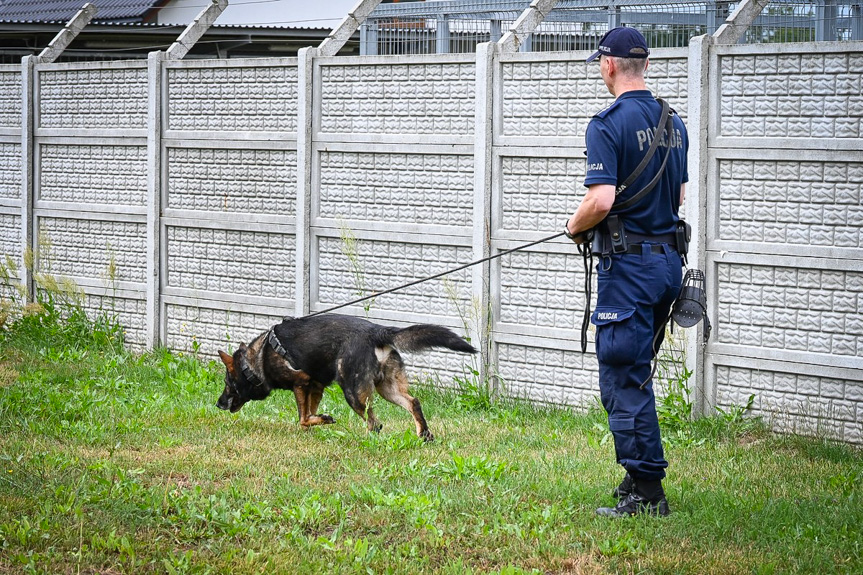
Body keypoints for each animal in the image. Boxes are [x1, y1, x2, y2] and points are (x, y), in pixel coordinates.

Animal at [214, 316, 472, 440]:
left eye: (227, 384)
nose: (217, 404)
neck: (257, 360)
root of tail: (376, 331)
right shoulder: (315, 386)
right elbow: (308, 415)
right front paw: (317, 423)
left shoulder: (301, 383)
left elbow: (303, 418)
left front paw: (320, 420)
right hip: (387, 389)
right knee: (413, 402)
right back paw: (424, 434)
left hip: (353, 393)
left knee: (374, 423)